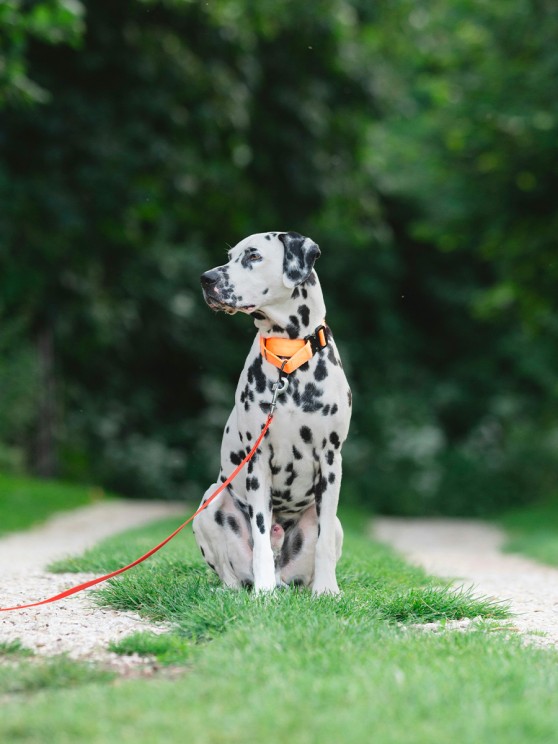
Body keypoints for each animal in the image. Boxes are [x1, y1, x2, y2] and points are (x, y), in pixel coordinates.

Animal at [195, 231, 352, 592]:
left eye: (253, 256)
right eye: (230, 256)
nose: (206, 279)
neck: (288, 356)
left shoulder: (331, 460)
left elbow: (323, 543)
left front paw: (327, 590)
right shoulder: (258, 462)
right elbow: (262, 535)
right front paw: (263, 592)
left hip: (334, 521)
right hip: (209, 504)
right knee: (229, 571)